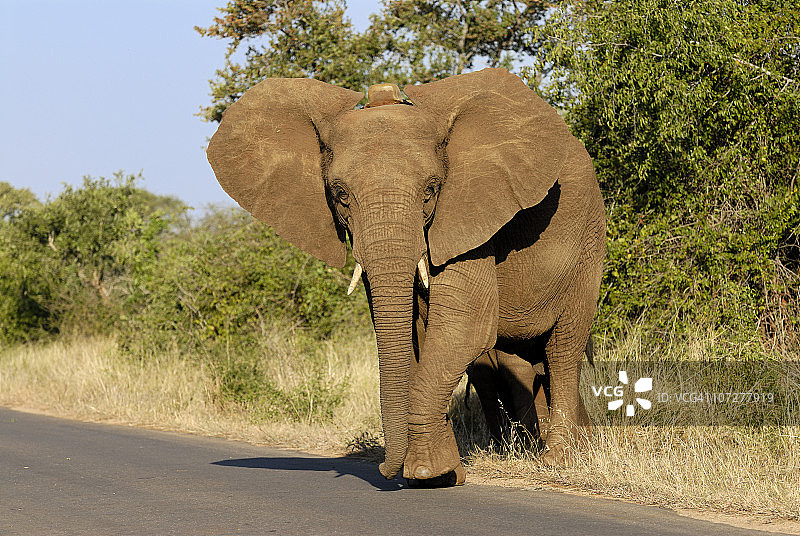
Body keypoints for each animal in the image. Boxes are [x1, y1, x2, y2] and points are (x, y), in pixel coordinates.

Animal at [206, 68, 605, 485]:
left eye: (431, 190)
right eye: (340, 194)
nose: (384, 469)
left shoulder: (466, 217)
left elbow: (465, 325)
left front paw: (427, 472)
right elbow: (413, 333)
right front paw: (440, 474)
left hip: (589, 242)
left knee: (563, 348)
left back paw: (559, 460)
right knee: (515, 360)